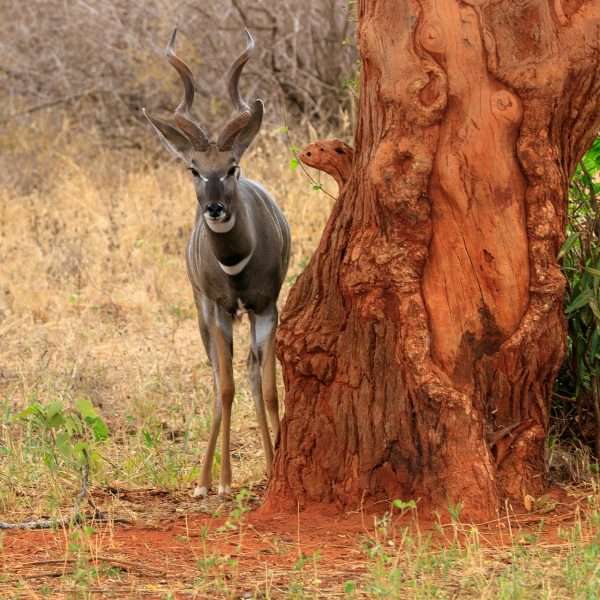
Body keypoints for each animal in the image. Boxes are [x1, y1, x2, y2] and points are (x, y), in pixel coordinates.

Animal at [143, 29, 288, 496]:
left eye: (232, 166)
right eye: (194, 168)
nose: (215, 208)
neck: (236, 266)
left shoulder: (266, 306)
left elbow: (268, 387)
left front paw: (274, 466)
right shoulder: (221, 308)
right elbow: (224, 388)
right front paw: (222, 482)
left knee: (250, 372)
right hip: (201, 309)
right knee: (215, 377)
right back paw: (204, 480)